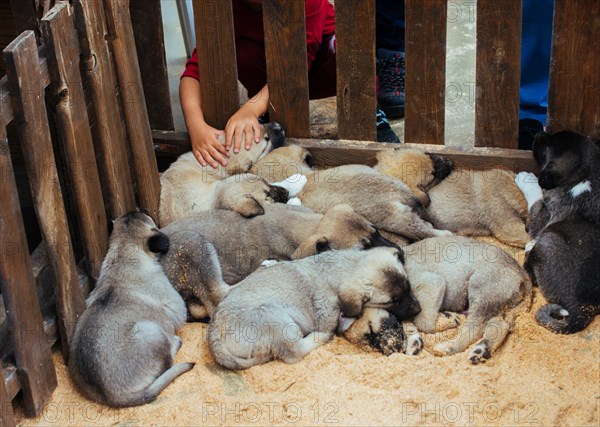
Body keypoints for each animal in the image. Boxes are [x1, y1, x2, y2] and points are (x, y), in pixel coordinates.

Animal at [69, 213, 193, 408]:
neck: (123, 252)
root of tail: (112, 396)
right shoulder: (175, 308)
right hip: (151, 331)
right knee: (168, 362)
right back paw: (175, 342)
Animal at [207, 247, 422, 372]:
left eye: (408, 286)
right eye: (391, 301)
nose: (419, 309)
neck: (341, 270)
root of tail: (214, 340)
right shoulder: (327, 314)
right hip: (272, 316)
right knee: (294, 351)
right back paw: (321, 337)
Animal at [516, 130, 600, 334]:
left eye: (546, 148)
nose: (540, 133)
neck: (586, 175)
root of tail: (584, 307)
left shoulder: (542, 217)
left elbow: (536, 195)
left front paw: (526, 178)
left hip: (548, 240)